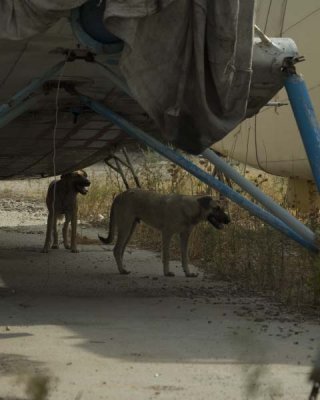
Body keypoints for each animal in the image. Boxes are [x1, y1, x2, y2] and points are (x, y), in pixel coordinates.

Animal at [98, 189, 230, 276]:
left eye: (222, 208)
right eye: (216, 208)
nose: (229, 220)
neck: (189, 208)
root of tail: (120, 195)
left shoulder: (184, 236)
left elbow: (185, 256)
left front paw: (188, 273)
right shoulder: (167, 234)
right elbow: (167, 255)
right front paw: (167, 272)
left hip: (130, 230)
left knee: (120, 251)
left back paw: (122, 269)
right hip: (125, 228)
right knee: (116, 250)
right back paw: (121, 270)